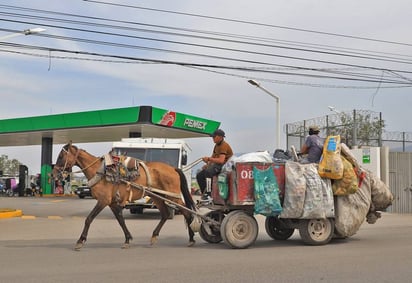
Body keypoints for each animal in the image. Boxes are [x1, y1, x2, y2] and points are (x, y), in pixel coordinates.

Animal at [52, 143, 197, 252]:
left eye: (61, 156)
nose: (53, 174)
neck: (101, 171)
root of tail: (173, 168)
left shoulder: (103, 201)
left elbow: (89, 219)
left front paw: (80, 241)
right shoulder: (112, 202)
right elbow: (120, 220)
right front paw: (127, 239)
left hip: (173, 197)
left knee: (187, 213)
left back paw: (191, 238)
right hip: (157, 197)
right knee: (166, 214)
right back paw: (154, 236)